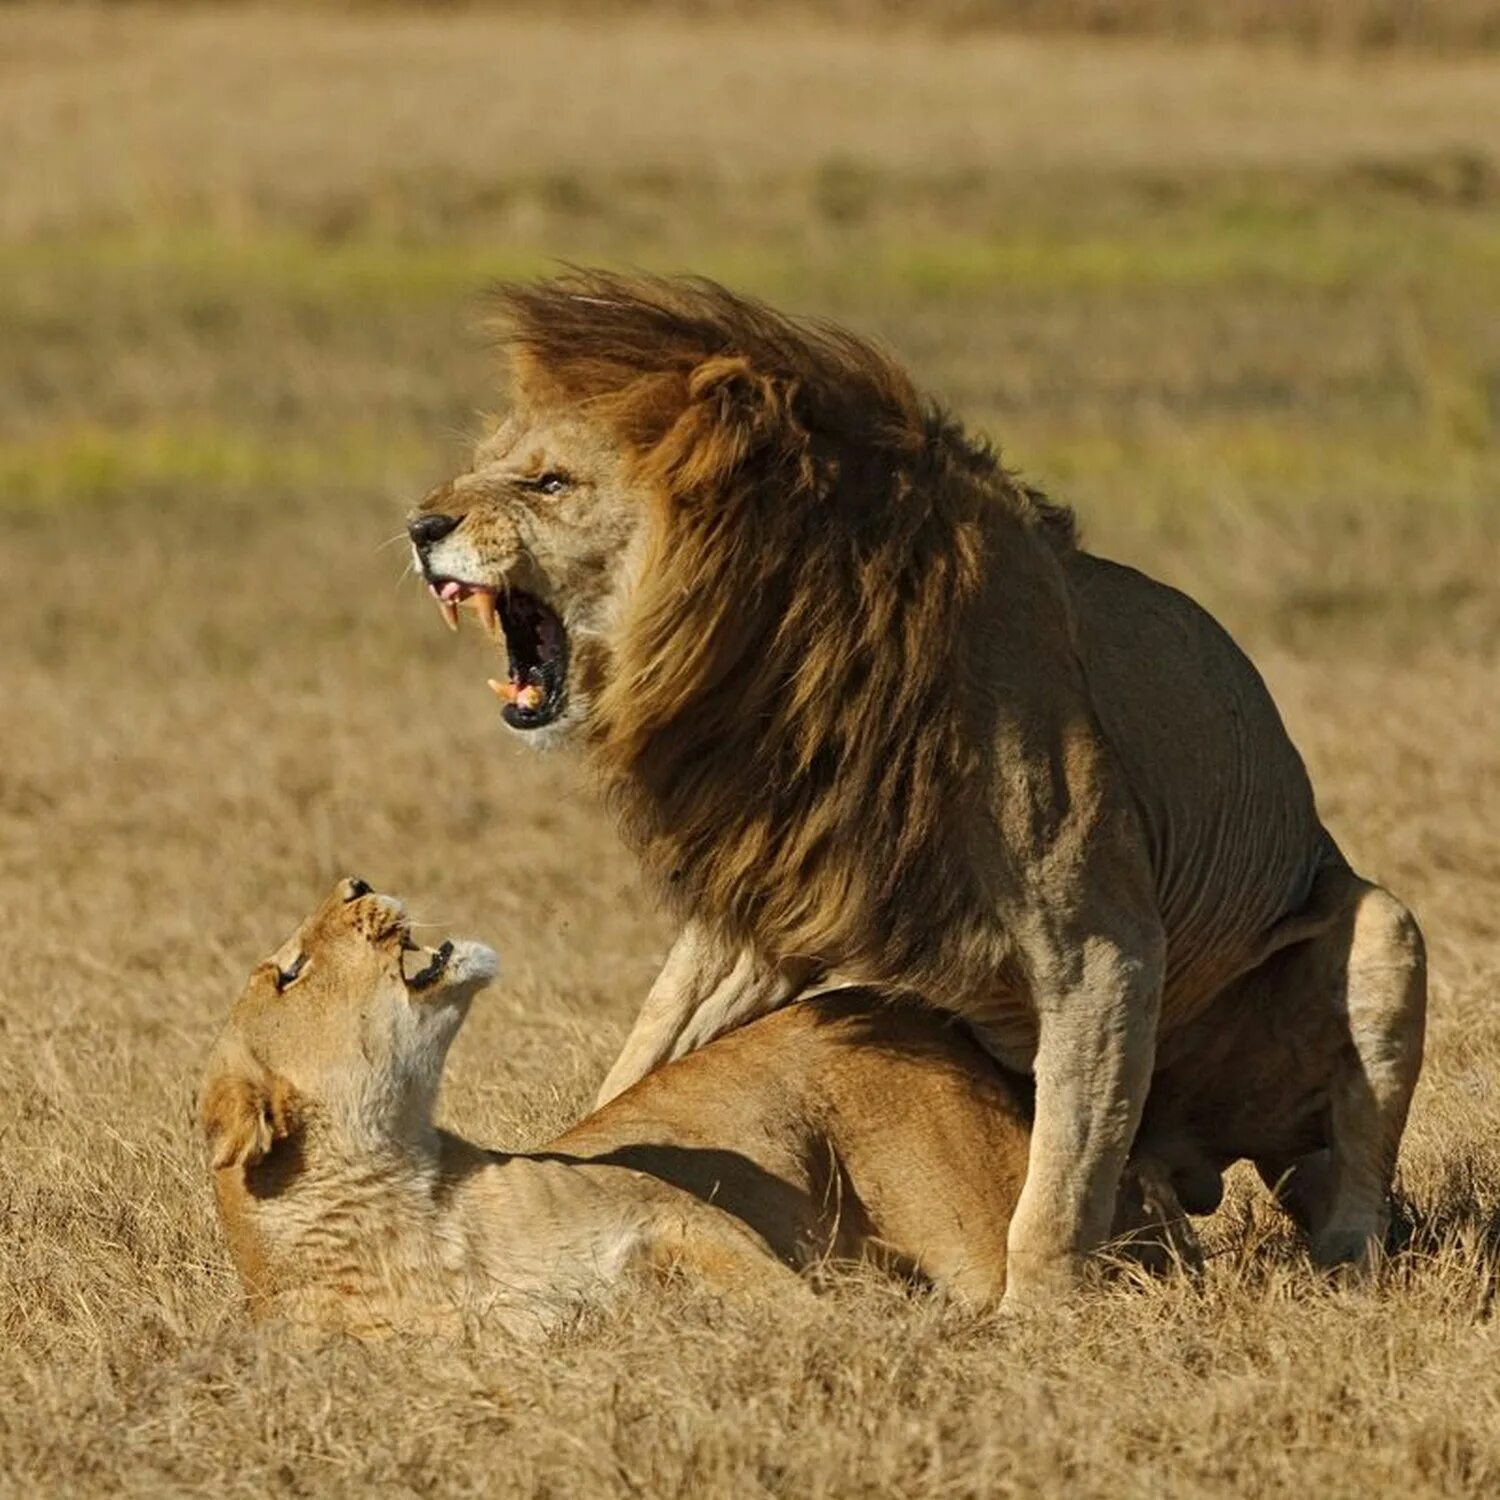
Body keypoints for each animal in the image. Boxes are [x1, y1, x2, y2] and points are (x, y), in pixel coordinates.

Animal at [199, 876, 1188, 1332]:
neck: (410, 1212)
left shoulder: (668, 1215)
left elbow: (791, 1302)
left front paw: (871, 1328)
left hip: (973, 1218)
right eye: (289, 972)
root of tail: (899, 1003)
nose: (357, 884)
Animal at [405, 273, 1422, 1302]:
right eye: (481, 468)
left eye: (550, 483)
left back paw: (1345, 1272)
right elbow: (650, 1045)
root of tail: (1203, 1157)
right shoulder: (777, 905)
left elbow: (1060, 1181)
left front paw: (1040, 1315)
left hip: (1385, 935)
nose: (421, 526)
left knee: (1348, 1177)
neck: (781, 660)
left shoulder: (1102, 944)